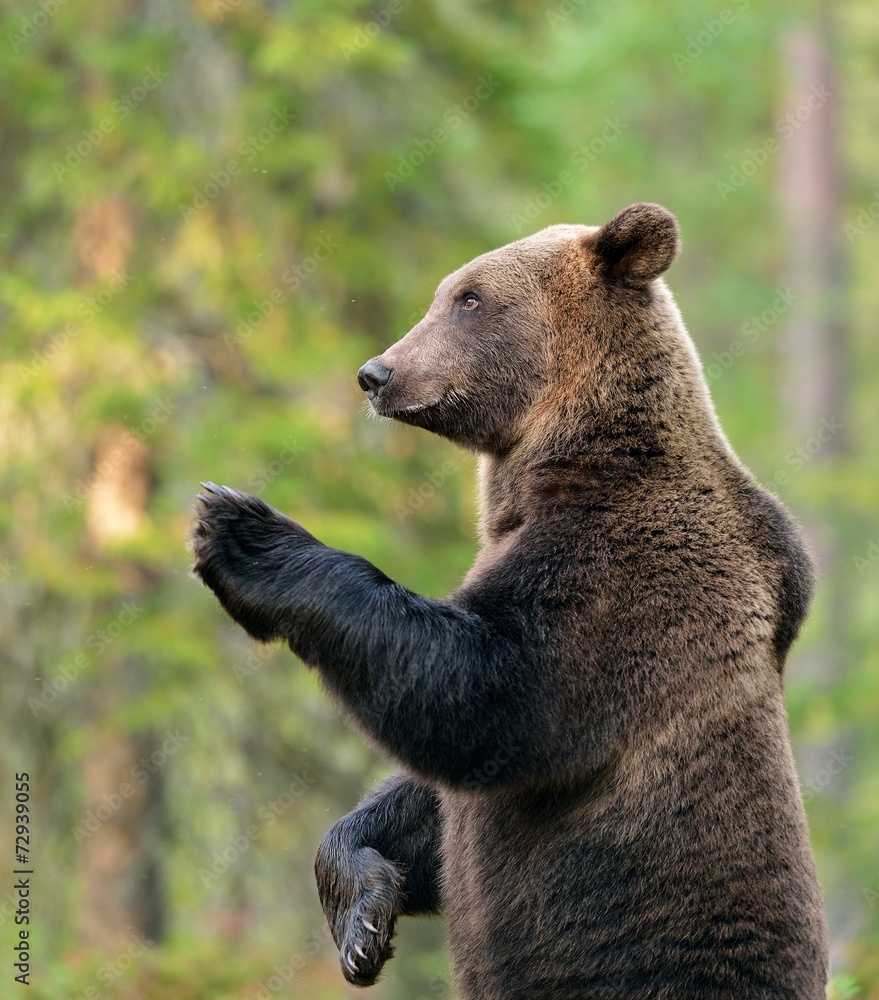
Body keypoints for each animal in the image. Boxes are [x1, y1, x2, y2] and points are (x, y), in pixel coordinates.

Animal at [190, 203, 829, 999]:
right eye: (444, 293)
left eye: (469, 298)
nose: (376, 372)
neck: (561, 458)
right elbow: (430, 801)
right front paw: (363, 917)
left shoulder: (623, 574)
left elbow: (488, 699)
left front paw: (239, 527)